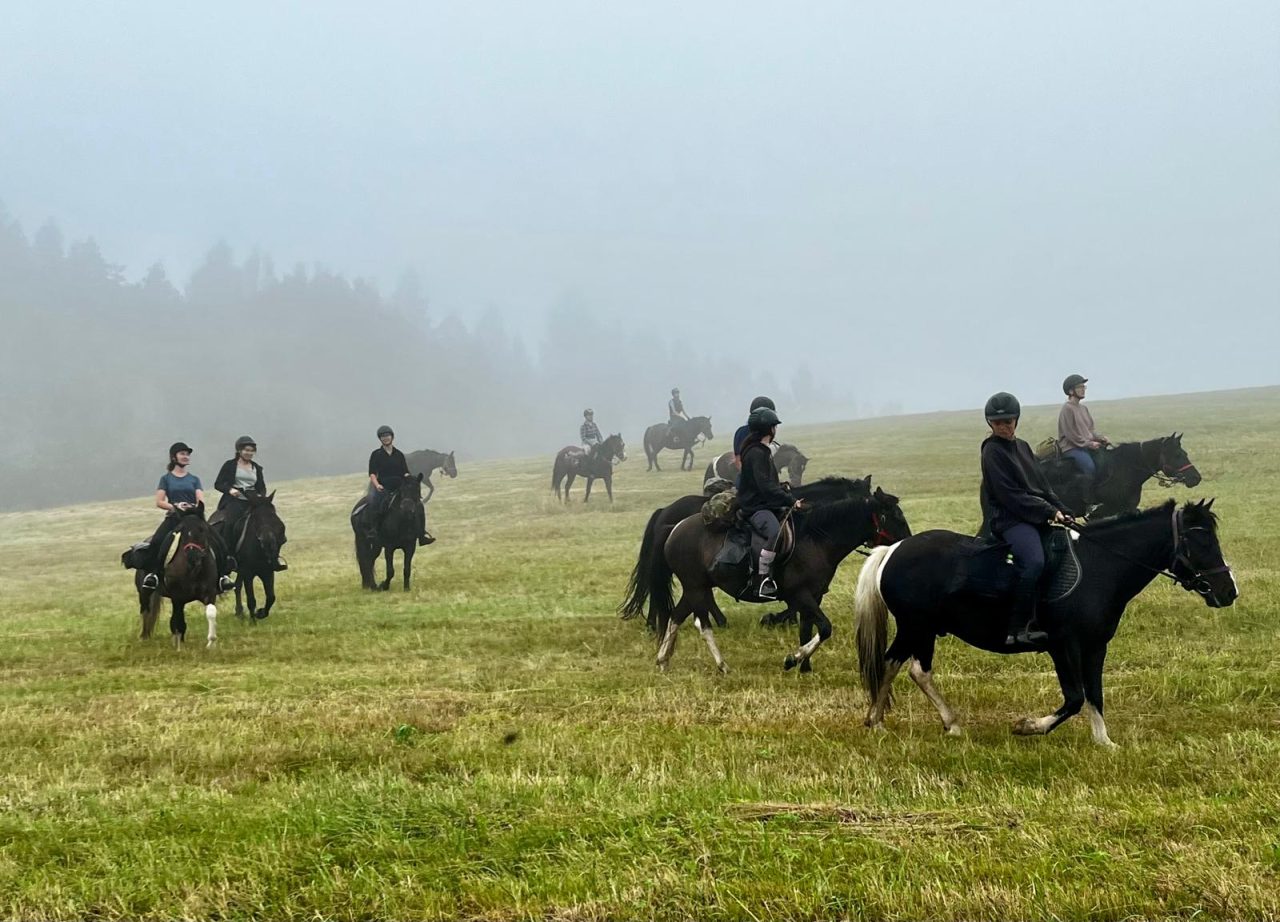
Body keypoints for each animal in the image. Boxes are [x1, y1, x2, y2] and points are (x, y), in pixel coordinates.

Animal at [132, 503, 220, 649]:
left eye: (202, 529)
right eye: (181, 531)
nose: (192, 556)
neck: (193, 569)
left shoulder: (209, 593)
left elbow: (211, 612)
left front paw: (211, 642)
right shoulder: (177, 597)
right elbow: (176, 620)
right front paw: (178, 645)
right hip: (145, 592)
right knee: (146, 611)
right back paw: (144, 637)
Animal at [220, 492, 287, 621]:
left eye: (274, 518)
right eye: (256, 519)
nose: (267, 541)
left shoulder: (267, 572)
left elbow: (271, 597)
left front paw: (260, 613)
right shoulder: (248, 573)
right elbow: (251, 600)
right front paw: (253, 621)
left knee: (237, 586)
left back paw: (239, 612)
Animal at [854, 499, 1236, 745]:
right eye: (1200, 539)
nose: (1228, 591)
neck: (1101, 566)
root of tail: (892, 550)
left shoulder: (1095, 646)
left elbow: (1094, 693)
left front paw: (1104, 741)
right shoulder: (1063, 645)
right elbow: (1074, 697)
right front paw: (1029, 726)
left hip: (921, 628)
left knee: (901, 665)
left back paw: (894, 722)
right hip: (917, 626)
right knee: (907, 667)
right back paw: (903, 723)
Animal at [1039, 434, 1201, 518]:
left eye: (1185, 453)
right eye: (1177, 455)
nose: (1196, 478)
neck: (1125, 470)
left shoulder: (1127, 510)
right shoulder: (1102, 514)